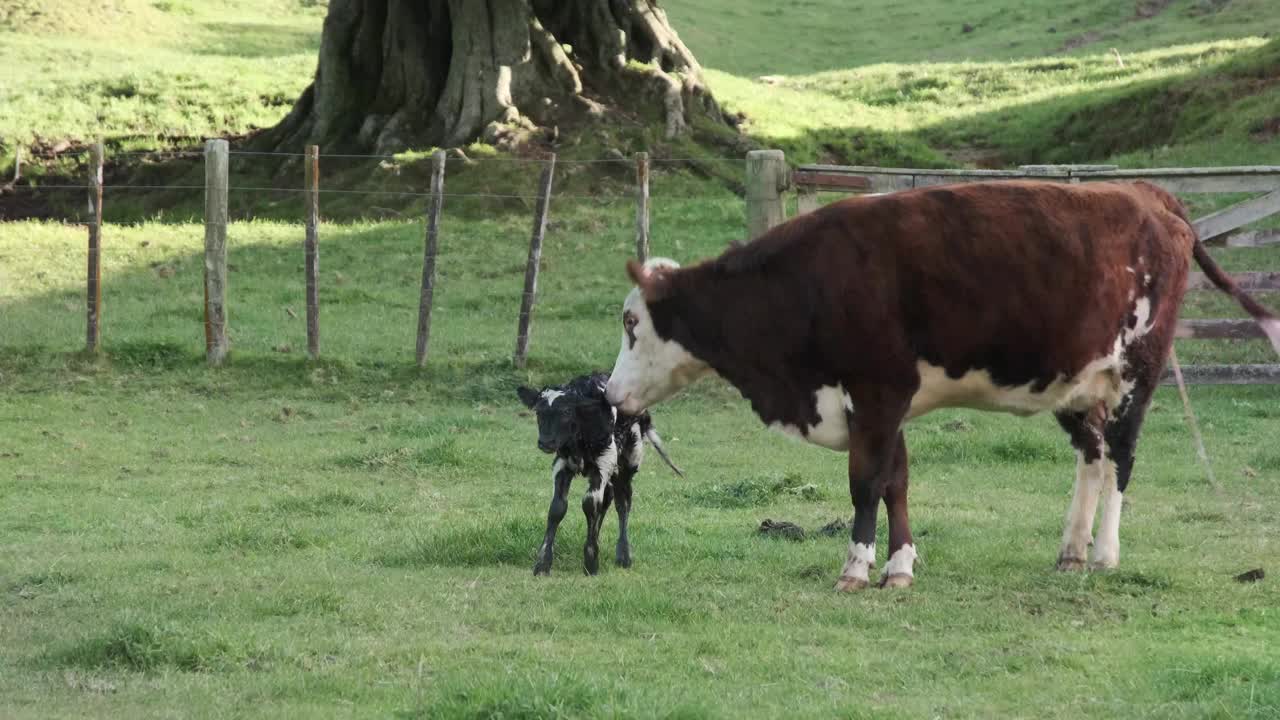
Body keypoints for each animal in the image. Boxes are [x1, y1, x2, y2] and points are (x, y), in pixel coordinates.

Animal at [517, 368, 686, 571]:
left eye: (566, 411)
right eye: (538, 412)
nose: (546, 442)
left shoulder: (604, 463)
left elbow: (590, 504)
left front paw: (591, 561)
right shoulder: (562, 465)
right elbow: (557, 508)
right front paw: (543, 563)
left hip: (627, 464)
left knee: (623, 503)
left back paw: (623, 555)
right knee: (606, 501)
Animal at [601, 178, 1280, 589]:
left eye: (632, 323)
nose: (609, 395)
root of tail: (1143, 191)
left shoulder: (878, 390)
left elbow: (866, 483)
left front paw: (858, 567)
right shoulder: (883, 402)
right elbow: (896, 481)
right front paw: (900, 566)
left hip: (1138, 368)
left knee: (1122, 454)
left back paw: (1106, 554)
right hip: (1077, 382)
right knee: (1092, 455)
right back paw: (1071, 550)